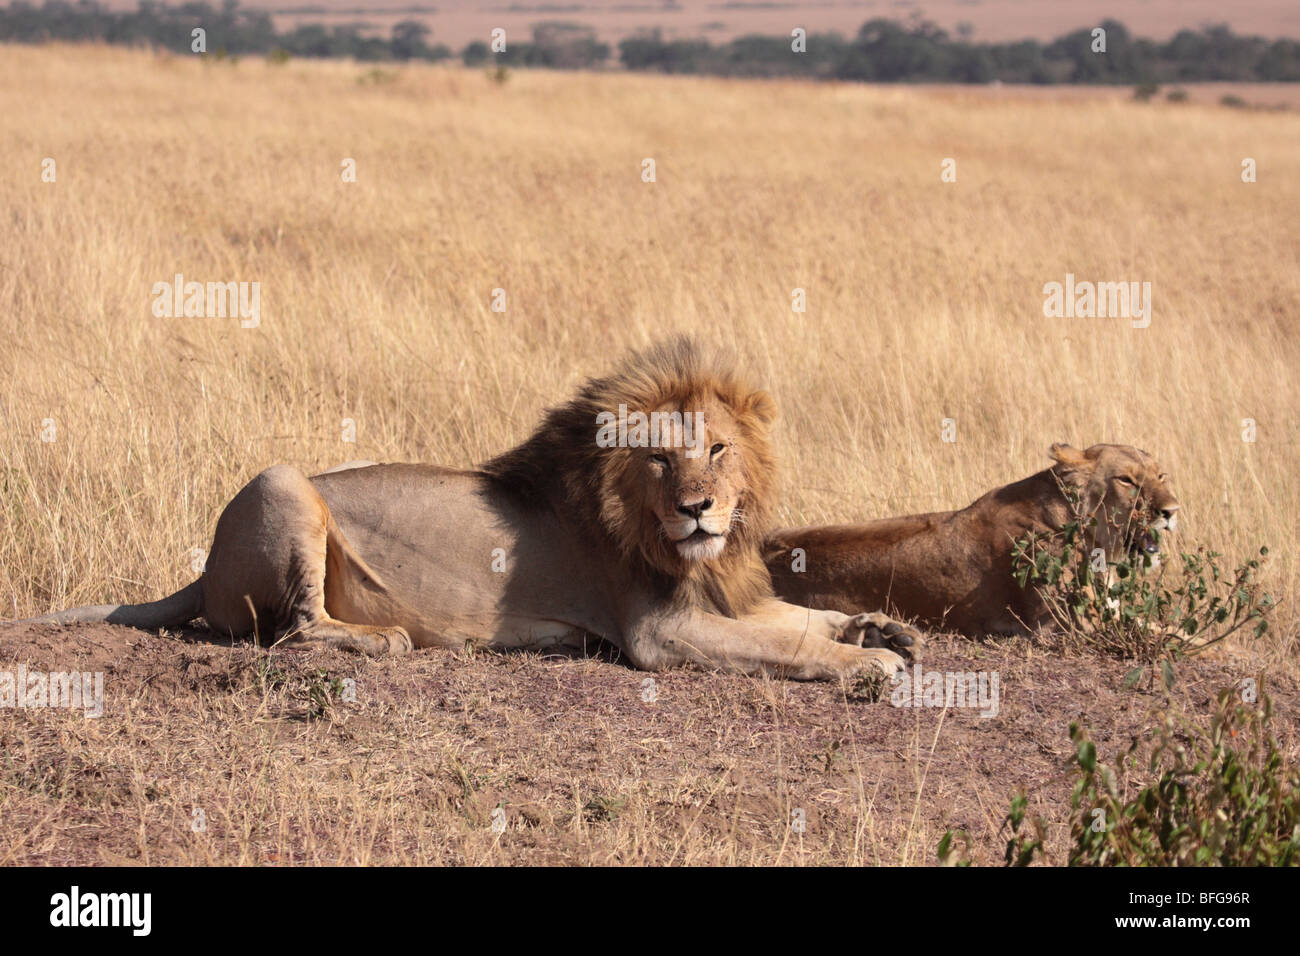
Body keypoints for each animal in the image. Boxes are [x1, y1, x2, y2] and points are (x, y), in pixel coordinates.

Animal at [21, 340, 920, 681]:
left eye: (721, 449)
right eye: (660, 459)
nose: (697, 509)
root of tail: (201, 572)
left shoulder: (729, 596)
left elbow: (800, 617)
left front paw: (881, 629)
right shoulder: (660, 632)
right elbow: (787, 646)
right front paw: (867, 664)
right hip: (282, 482)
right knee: (294, 630)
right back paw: (383, 638)